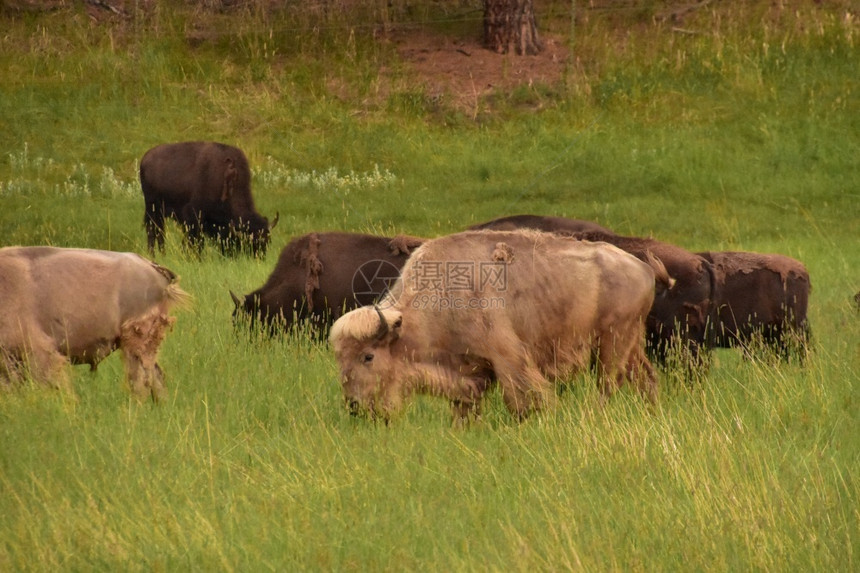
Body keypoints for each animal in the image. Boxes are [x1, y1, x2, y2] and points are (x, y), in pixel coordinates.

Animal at [139, 140, 278, 256]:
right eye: (249, 242)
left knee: (159, 232)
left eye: (267, 241)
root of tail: (145, 158)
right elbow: (195, 241)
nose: (259, 258)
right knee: (153, 231)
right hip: (152, 209)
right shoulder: (193, 217)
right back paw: (154, 255)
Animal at [326, 230, 668, 422]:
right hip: (631, 345)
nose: (355, 406)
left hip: (612, 343)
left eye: (368, 356)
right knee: (646, 380)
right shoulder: (466, 372)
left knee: (608, 386)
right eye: (340, 359)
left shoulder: (508, 359)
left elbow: (524, 400)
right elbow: (464, 406)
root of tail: (643, 268)